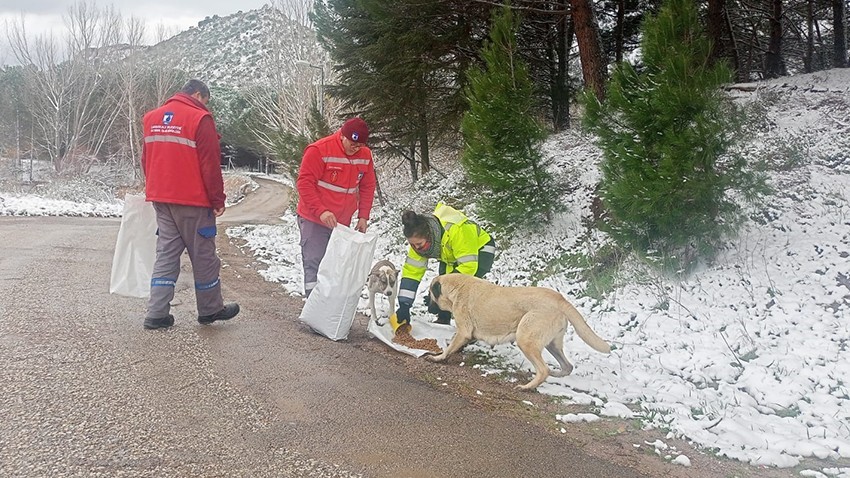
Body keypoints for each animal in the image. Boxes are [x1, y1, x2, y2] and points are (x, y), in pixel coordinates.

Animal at [428, 274, 608, 390]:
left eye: (430, 294)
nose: (428, 306)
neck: (458, 287)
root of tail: (560, 299)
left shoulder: (463, 331)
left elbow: (449, 348)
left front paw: (438, 358)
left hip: (526, 340)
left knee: (544, 370)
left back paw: (527, 387)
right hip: (552, 345)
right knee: (567, 366)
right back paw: (553, 374)